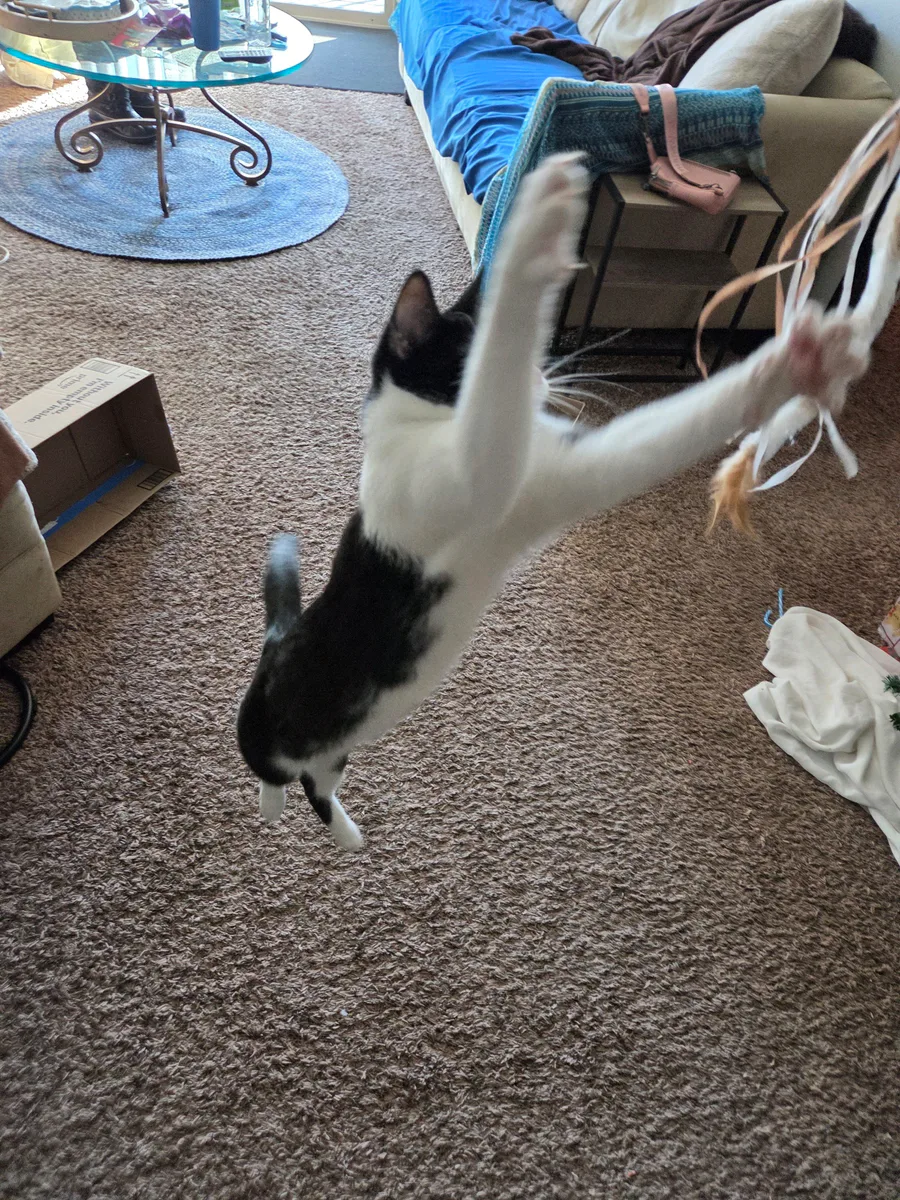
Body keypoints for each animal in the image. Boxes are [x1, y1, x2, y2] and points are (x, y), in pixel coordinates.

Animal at [237, 152, 868, 851]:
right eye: (464, 356)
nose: (542, 379)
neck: (417, 426)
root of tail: (277, 639)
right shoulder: (475, 471)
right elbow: (497, 393)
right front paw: (538, 223)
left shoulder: (557, 477)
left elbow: (664, 432)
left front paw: (796, 363)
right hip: (269, 726)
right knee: (269, 766)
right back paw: (277, 808)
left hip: (338, 745)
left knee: (318, 783)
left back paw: (341, 830)